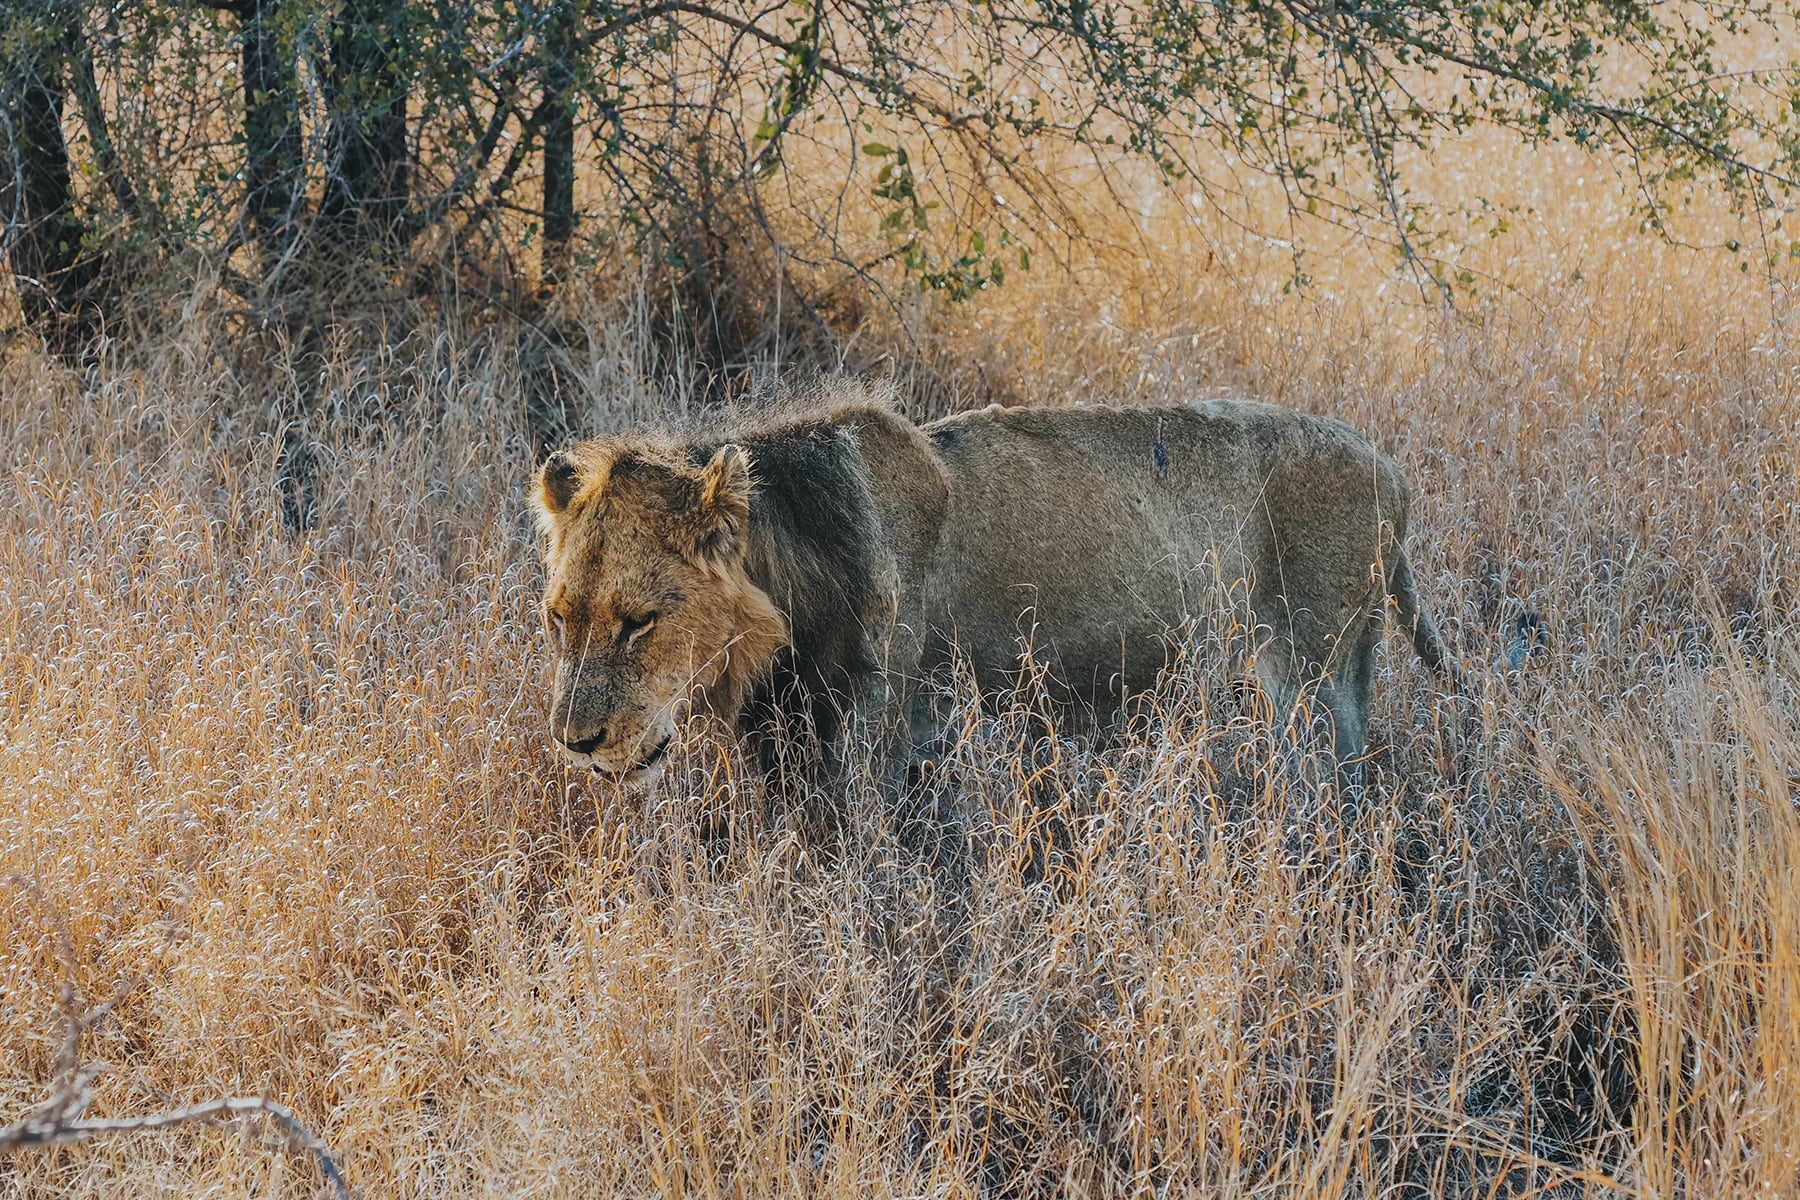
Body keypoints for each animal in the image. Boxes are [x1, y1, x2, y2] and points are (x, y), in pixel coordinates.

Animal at [531, 392, 1456, 781]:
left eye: (639, 622)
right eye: (557, 619)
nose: (575, 743)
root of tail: (1390, 467)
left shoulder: (884, 729)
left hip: (1309, 665)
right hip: (1346, 661)